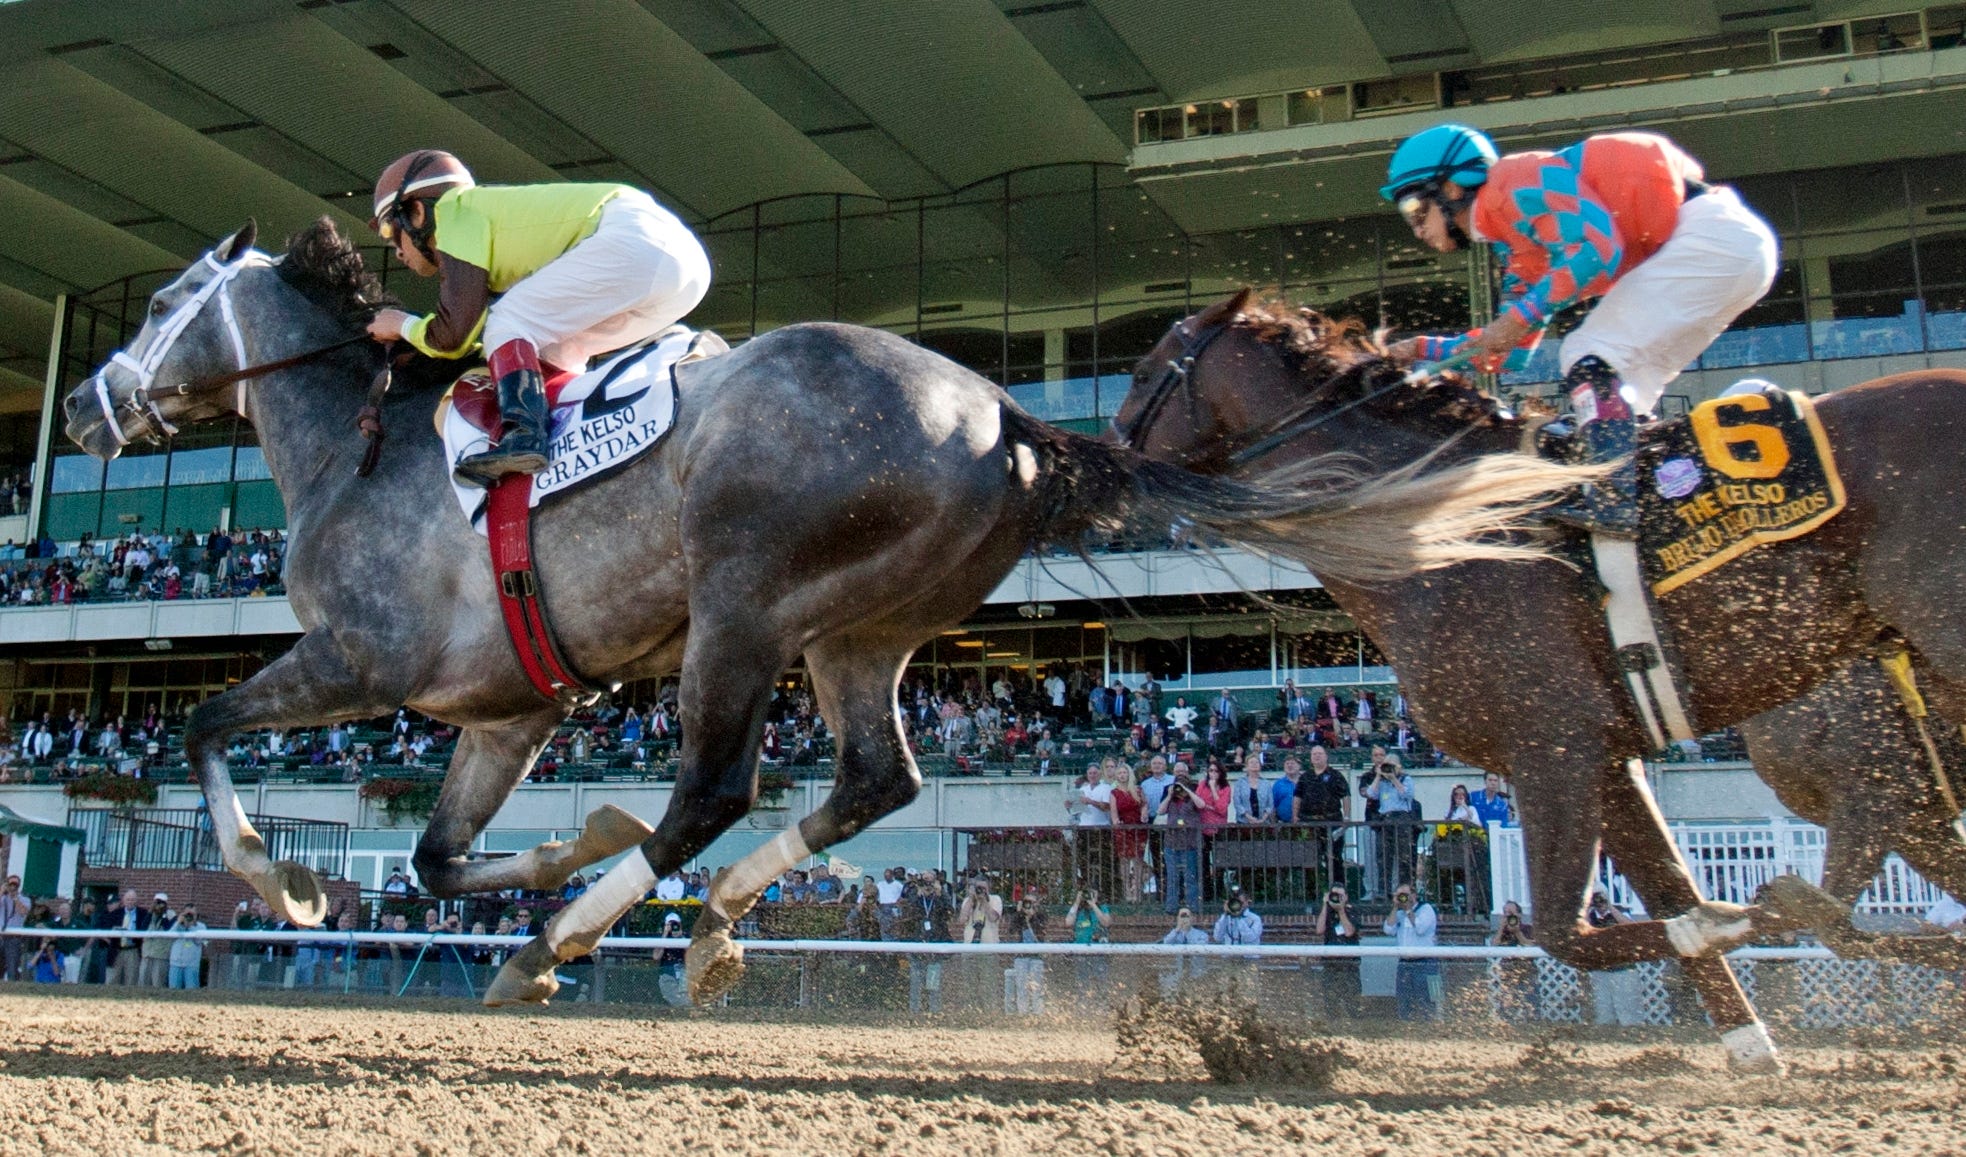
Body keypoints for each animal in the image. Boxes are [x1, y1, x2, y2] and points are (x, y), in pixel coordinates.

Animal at [69, 216, 1588, 1001]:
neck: (357, 453)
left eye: (159, 301)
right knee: (870, 778)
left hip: (743, 607)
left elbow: (204, 727)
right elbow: (440, 862)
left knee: (713, 787)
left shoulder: (355, 660)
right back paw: (693, 920)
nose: (85, 408)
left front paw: (286, 880)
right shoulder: (502, 712)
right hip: (861, 629)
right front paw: (555, 855)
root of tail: (1007, 416)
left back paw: (586, 932)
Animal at [1116, 286, 1966, 1068]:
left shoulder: (1552, 747)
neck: (1456, 530)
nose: (1104, 455)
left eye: (1143, 372)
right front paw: (1753, 1042)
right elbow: (1666, 895)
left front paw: (1748, 915)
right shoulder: (1611, 757)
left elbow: (1576, 931)